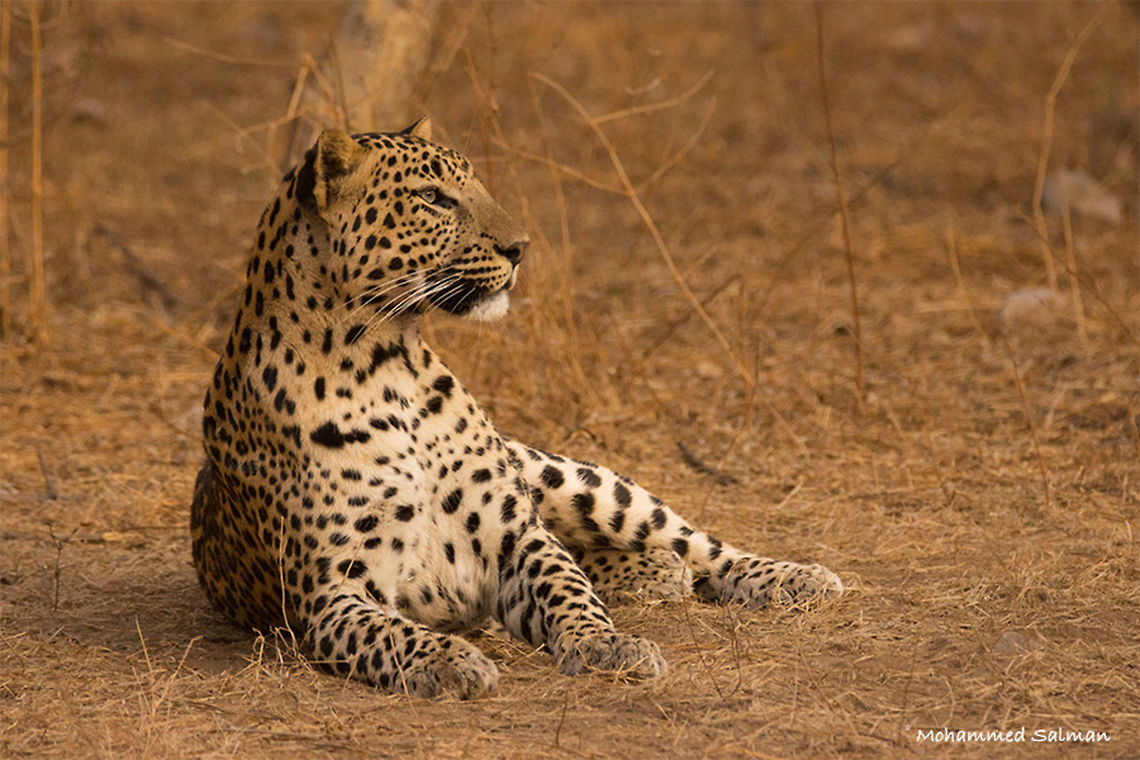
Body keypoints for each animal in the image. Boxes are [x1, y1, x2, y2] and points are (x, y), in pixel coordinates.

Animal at [190, 117, 843, 699]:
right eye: (431, 198)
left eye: (474, 187)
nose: (521, 247)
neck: (383, 363)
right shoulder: (336, 592)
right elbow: (392, 635)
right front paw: (452, 661)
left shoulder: (513, 533)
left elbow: (566, 587)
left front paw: (606, 644)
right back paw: (658, 573)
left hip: (572, 480)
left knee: (693, 544)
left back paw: (792, 575)